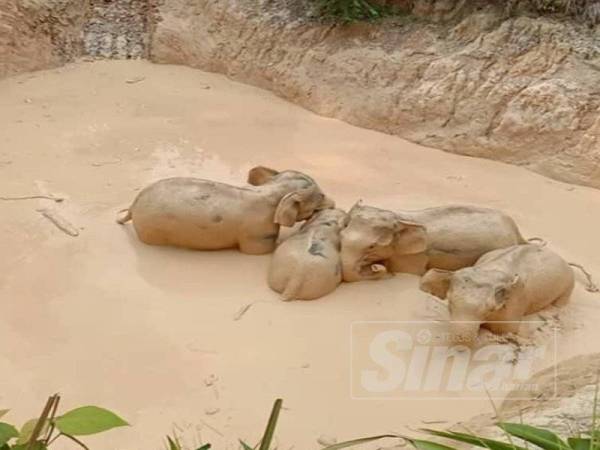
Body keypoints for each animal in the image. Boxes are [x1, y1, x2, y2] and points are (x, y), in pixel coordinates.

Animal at [117, 166, 332, 256]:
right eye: (321, 196)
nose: (334, 203)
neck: (271, 191)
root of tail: (132, 206)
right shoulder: (257, 234)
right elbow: (259, 251)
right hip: (151, 231)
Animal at [338, 201, 536, 280]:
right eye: (341, 236)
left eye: (372, 246)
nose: (375, 270)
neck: (399, 216)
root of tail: (516, 231)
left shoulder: (415, 256)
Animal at [420, 243, 576, 344]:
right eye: (450, 304)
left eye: (489, 310)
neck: (489, 270)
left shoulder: (515, 303)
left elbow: (506, 329)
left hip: (569, 283)